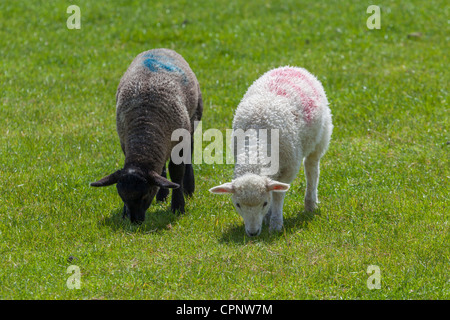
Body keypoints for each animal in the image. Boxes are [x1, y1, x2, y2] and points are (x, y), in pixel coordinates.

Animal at [209, 66, 332, 236]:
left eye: (264, 203)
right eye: (238, 204)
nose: (253, 233)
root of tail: (293, 67)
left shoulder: (289, 168)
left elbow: (278, 195)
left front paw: (276, 223)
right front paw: (267, 218)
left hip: (321, 136)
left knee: (312, 169)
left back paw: (310, 204)